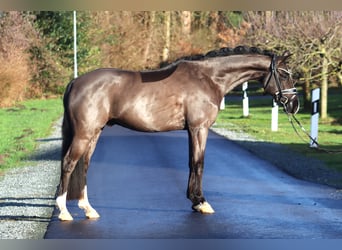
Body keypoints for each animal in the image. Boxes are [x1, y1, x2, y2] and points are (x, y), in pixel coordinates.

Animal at [56, 45, 300, 221]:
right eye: (283, 74)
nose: (294, 105)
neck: (209, 78)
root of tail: (75, 82)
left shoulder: (193, 130)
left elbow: (192, 162)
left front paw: (195, 201)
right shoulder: (199, 128)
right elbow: (198, 163)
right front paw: (201, 202)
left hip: (94, 133)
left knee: (83, 165)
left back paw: (88, 209)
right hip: (84, 134)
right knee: (69, 163)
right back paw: (64, 211)